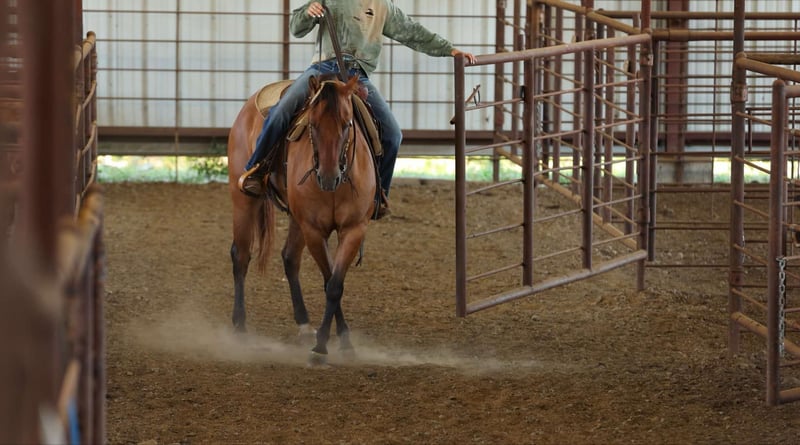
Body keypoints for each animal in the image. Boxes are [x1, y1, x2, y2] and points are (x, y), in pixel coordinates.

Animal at [227, 74, 377, 365]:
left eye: (347, 124)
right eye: (312, 125)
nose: (328, 176)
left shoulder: (354, 229)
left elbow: (335, 283)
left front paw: (341, 341)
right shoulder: (314, 230)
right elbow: (329, 281)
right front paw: (322, 346)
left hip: (296, 219)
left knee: (289, 257)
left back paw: (305, 326)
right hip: (243, 200)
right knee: (241, 255)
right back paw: (239, 328)